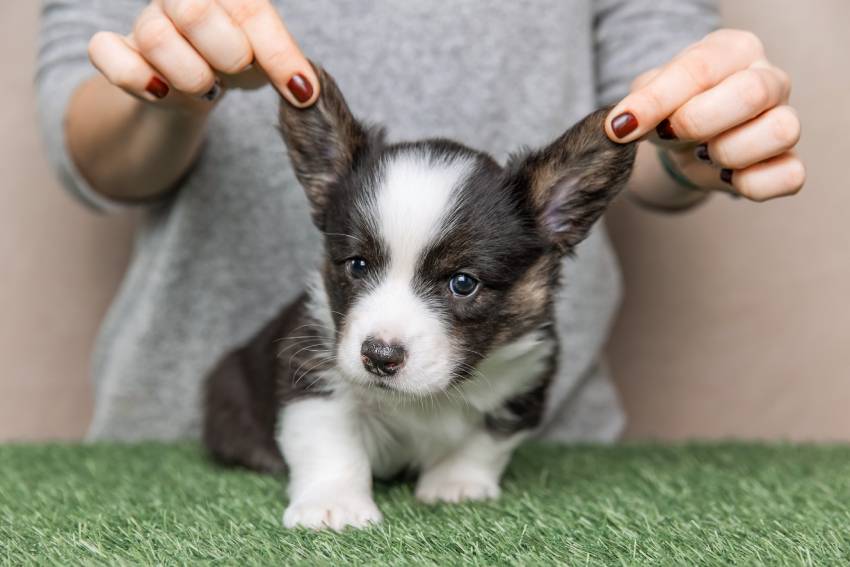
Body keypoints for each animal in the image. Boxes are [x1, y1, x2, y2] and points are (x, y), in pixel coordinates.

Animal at [202, 64, 632, 532]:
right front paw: (333, 506)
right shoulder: (314, 373)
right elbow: (330, 443)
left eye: (463, 283)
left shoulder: (521, 383)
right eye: (357, 265)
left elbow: (484, 443)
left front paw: (455, 485)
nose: (379, 357)